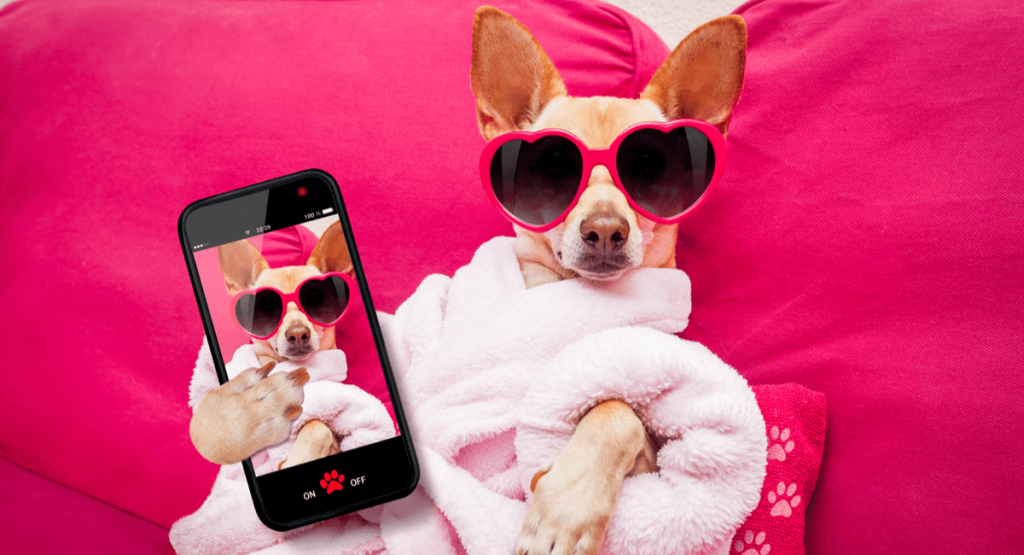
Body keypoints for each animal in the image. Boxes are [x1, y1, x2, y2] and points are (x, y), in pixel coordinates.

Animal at [468, 7, 745, 555]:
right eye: (552, 169)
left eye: (651, 169)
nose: (604, 230)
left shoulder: (653, 448)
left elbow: (616, 409)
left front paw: (565, 511)